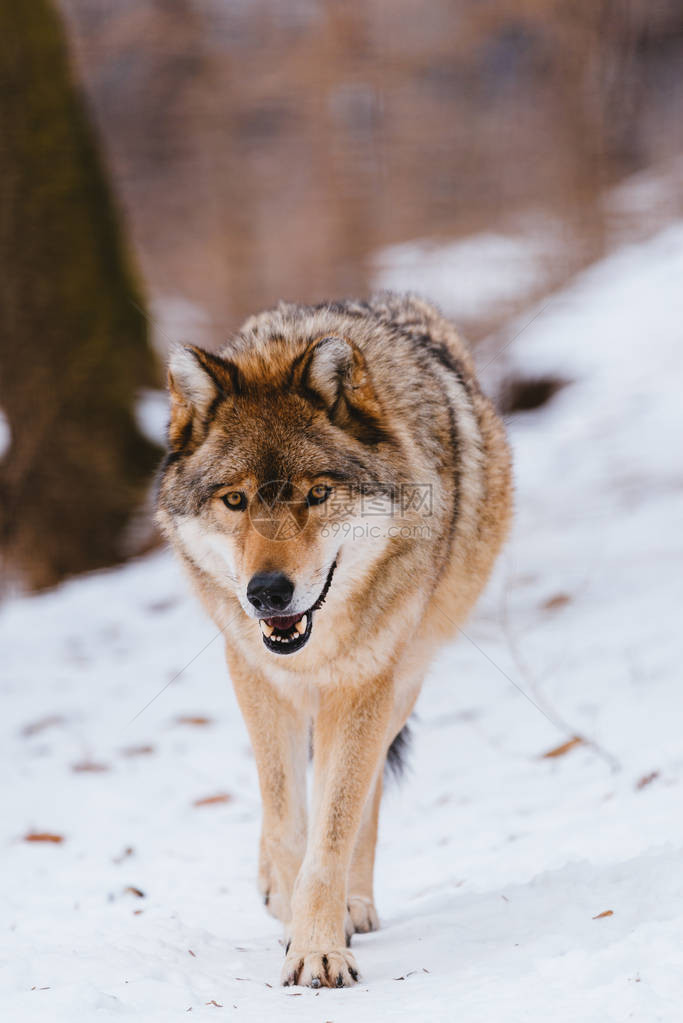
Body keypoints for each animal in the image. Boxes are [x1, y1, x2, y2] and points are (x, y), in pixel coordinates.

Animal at [157, 292, 511, 986]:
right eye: (235, 501)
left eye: (318, 494)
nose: (267, 593)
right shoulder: (257, 677)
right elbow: (285, 820)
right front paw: (288, 909)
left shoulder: (364, 684)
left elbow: (335, 827)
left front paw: (319, 947)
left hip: (401, 683)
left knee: (363, 798)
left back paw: (353, 905)